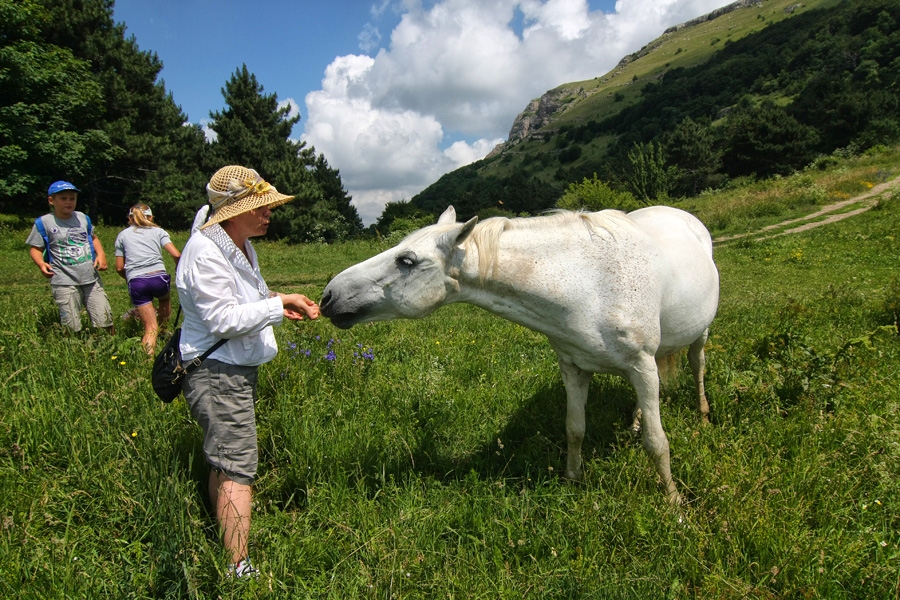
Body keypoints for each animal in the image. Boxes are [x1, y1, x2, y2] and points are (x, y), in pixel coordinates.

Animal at [320, 206, 720, 502]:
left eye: (406, 260)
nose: (328, 296)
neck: (590, 285)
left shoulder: (641, 366)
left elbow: (657, 442)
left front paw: (673, 502)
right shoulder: (574, 367)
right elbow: (575, 428)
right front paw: (572, 480)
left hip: (697, 336)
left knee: (697, 364)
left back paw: (702, 415)